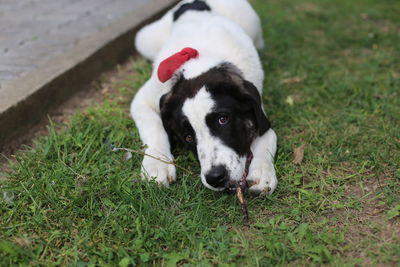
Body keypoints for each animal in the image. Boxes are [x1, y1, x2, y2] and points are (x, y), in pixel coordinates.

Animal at [131, 0, 278, 197]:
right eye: (187, 137)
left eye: (223, 119)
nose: (215, 177)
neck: (198, 67)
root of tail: (193, 3)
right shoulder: (144, 99)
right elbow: (154, 127)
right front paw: (157, 164)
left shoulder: (260, 110)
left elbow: (268, 135)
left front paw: (262, 171)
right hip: (144, 39)